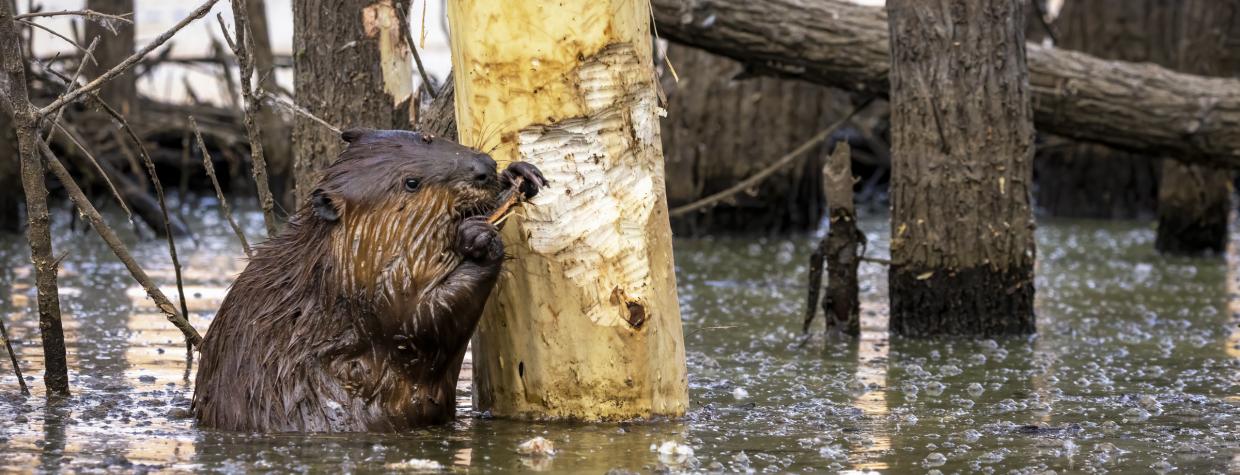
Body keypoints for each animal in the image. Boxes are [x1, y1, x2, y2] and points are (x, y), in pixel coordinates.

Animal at [192, 128, 543, 434]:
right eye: (411, 182)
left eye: (428, 136)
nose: (483, 168)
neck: (328, 273)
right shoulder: (374, 303)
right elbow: (420, 326)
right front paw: (478, 237)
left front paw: (520, 174)